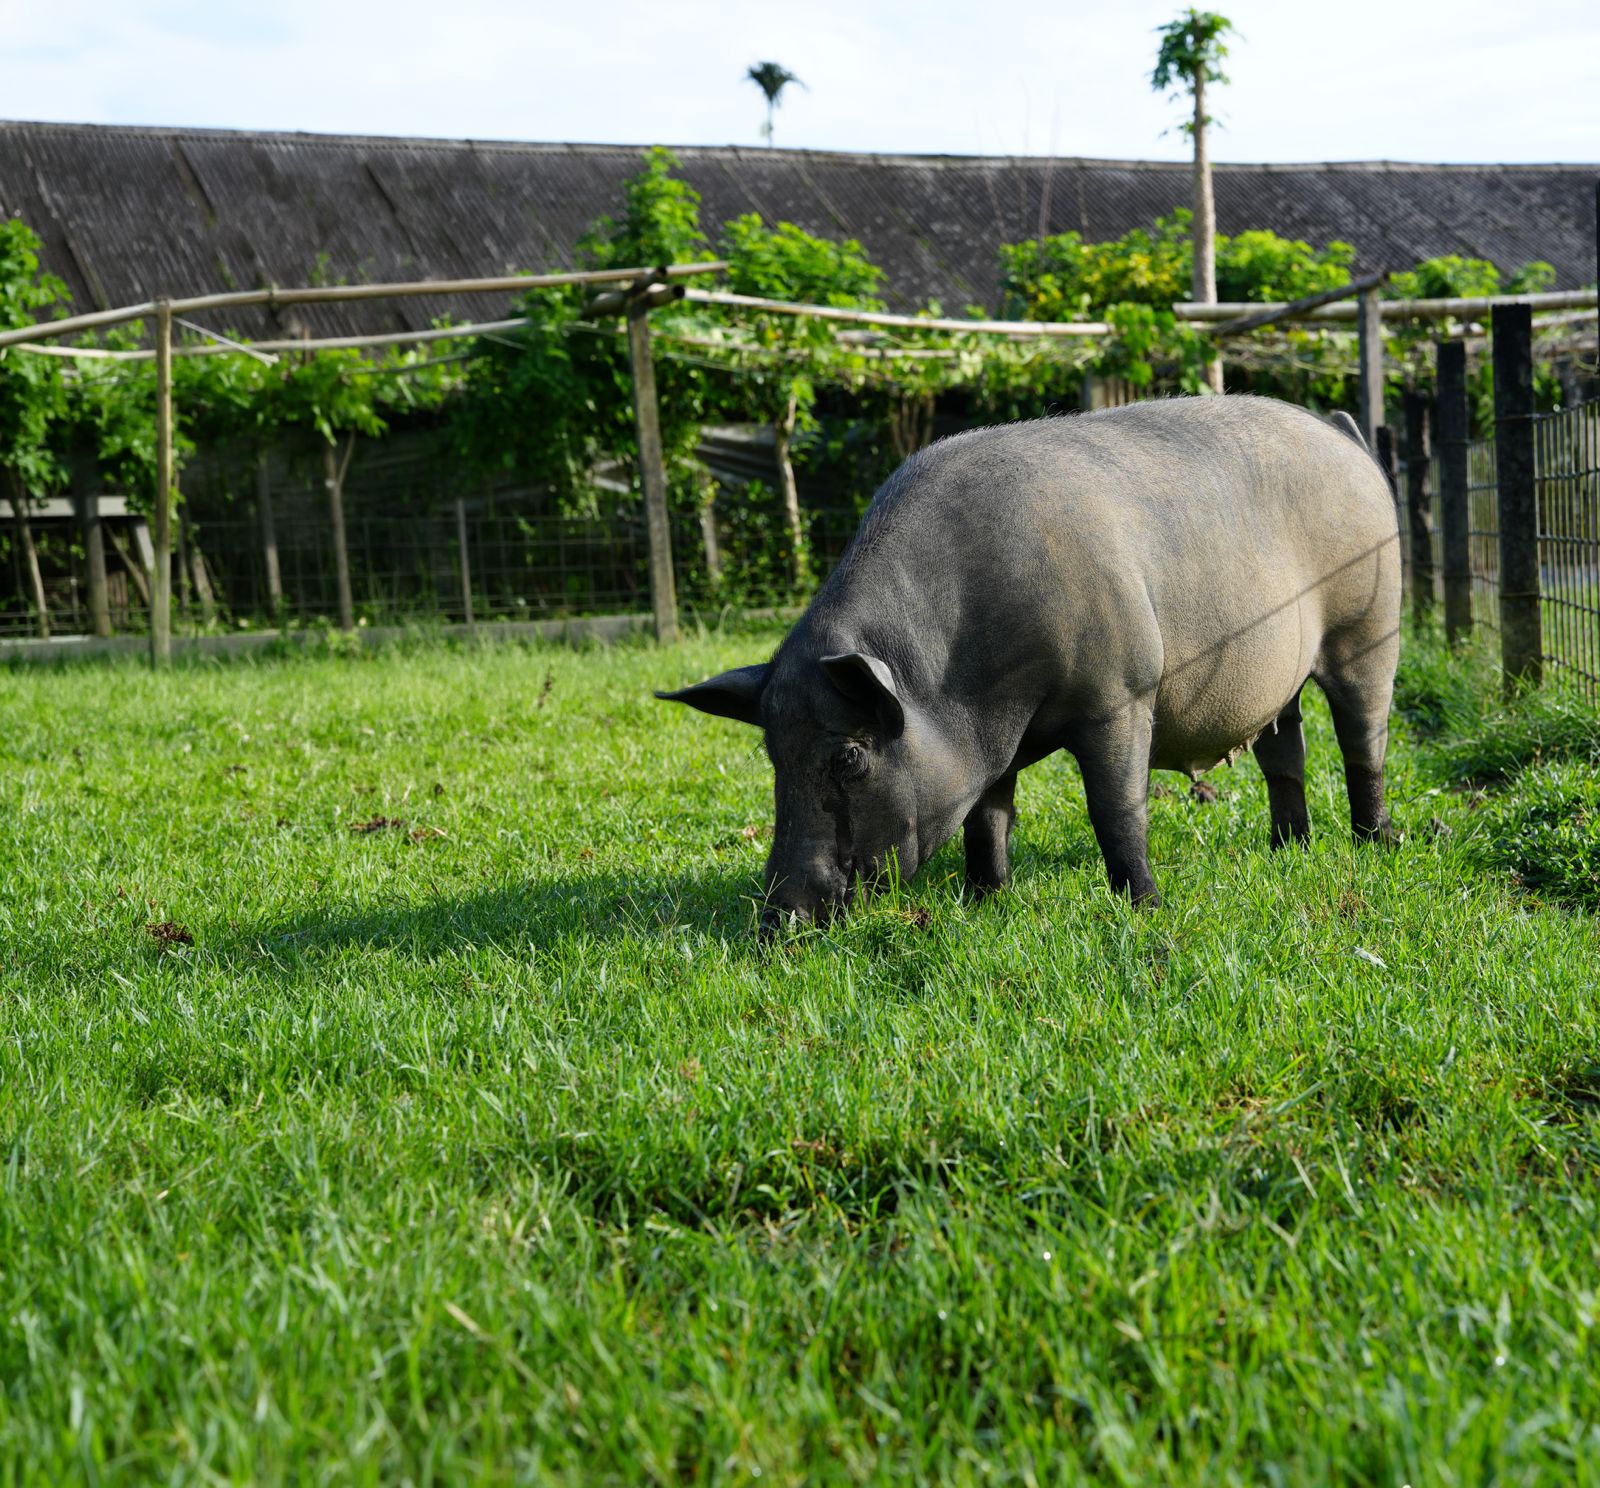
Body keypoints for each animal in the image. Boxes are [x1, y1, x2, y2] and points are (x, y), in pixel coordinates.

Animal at [658, 396, 1401, 927]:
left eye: (848, 756)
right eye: (772, 755)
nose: (778, 920)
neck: (960, 684)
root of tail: (1341, 432)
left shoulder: (1120, 694)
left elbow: (1115, 810)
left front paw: (1145, 909)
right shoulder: (990, 746)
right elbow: (987, 820)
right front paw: (985, 903)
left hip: (1370, 625)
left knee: (1362, 738)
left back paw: (1376, 843)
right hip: (1286, 678)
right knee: (1286, 749)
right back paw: (1289, 848)